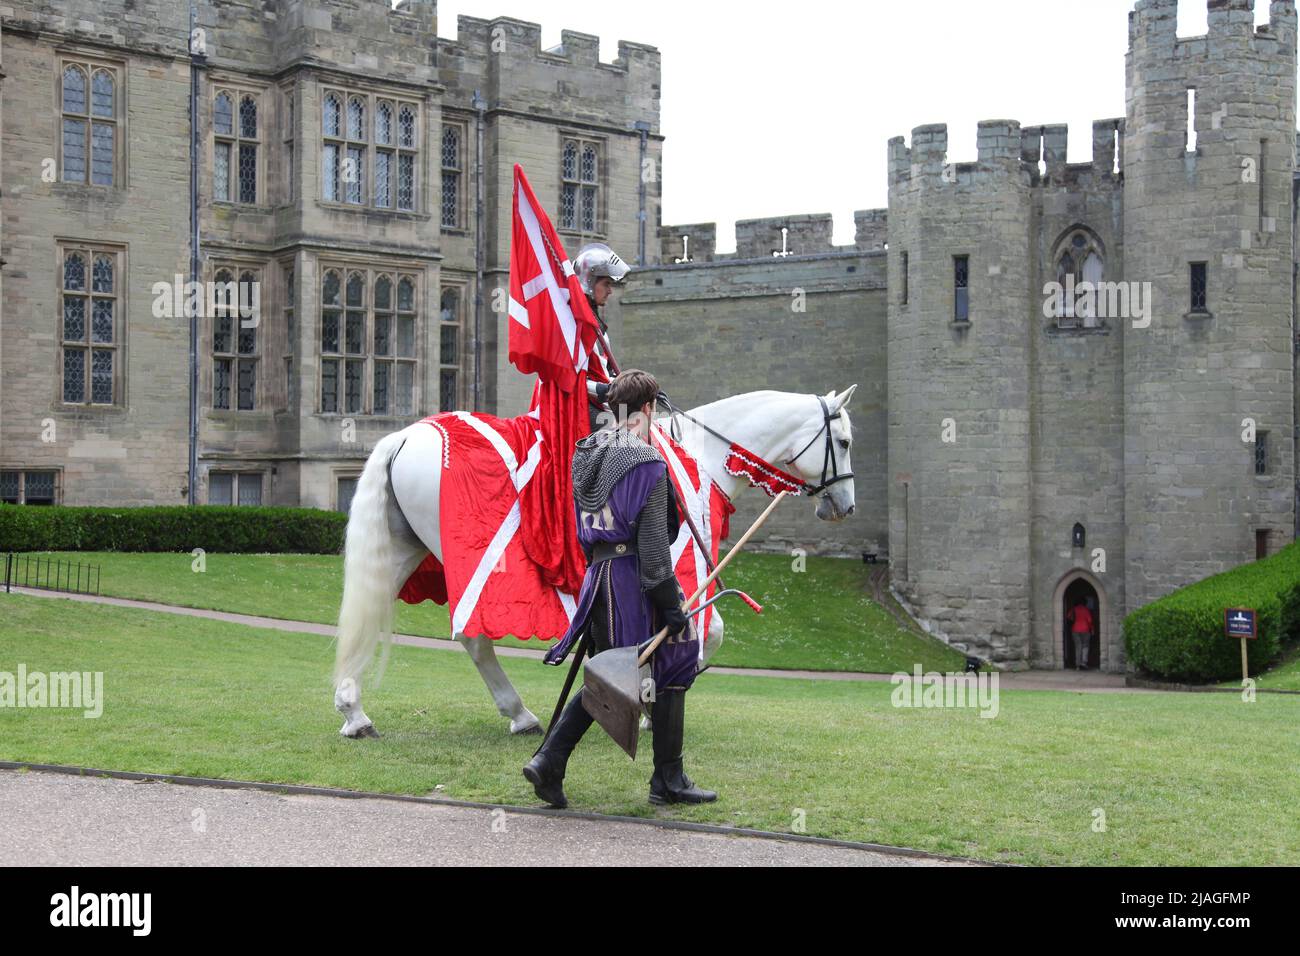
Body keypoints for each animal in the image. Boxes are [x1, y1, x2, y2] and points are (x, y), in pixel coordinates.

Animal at [335, 385, 857, 738]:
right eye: (846, 442)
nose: (845, 507)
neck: (701, 455)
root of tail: (404, 437)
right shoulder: (673, 567)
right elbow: (702, 631)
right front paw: (651, 701)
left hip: (403, 549)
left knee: (369, 615)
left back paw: (355, 712)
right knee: (473, 636)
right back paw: (519, 714)